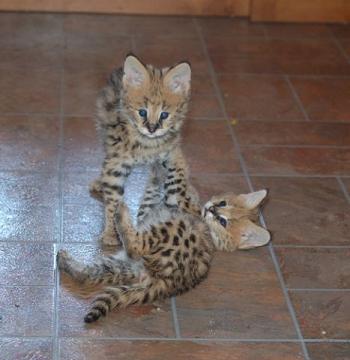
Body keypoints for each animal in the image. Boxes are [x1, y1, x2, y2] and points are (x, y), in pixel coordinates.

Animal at [58, 166, 270, 324]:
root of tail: (168, 284)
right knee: (89, 274)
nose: (211, 209)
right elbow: (153, 191)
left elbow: (162, 191)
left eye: (223, 221)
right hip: (126, 266)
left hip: (170, 232)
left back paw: (121, 211)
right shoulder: (151, 208)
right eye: (223, 203)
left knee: (134, 245)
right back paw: (67, 262)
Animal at [91, 54, 200, 245]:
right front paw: (111, 231)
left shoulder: (173, 152)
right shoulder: (117, 161)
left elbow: (178, 178)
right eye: (142, 112)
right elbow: (113, 196)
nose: (152, 129)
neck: (147, 144)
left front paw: (178, 197)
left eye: (164, 115)